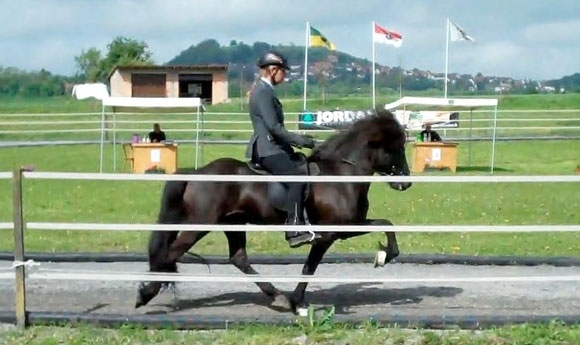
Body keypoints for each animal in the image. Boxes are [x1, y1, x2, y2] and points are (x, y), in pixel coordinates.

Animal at [136, 107, 412, 312]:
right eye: (396, 148)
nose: (406, 182)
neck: (341, 175)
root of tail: (198, 172)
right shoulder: (332, 233)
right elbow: (310, 266)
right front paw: (298, 302)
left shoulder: (345, 229)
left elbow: (386, 225)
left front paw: (384, 255)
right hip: (200, 224)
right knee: (170, 253)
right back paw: (146, 293)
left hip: (233, 222)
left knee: (238, 258)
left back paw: (277, 296)